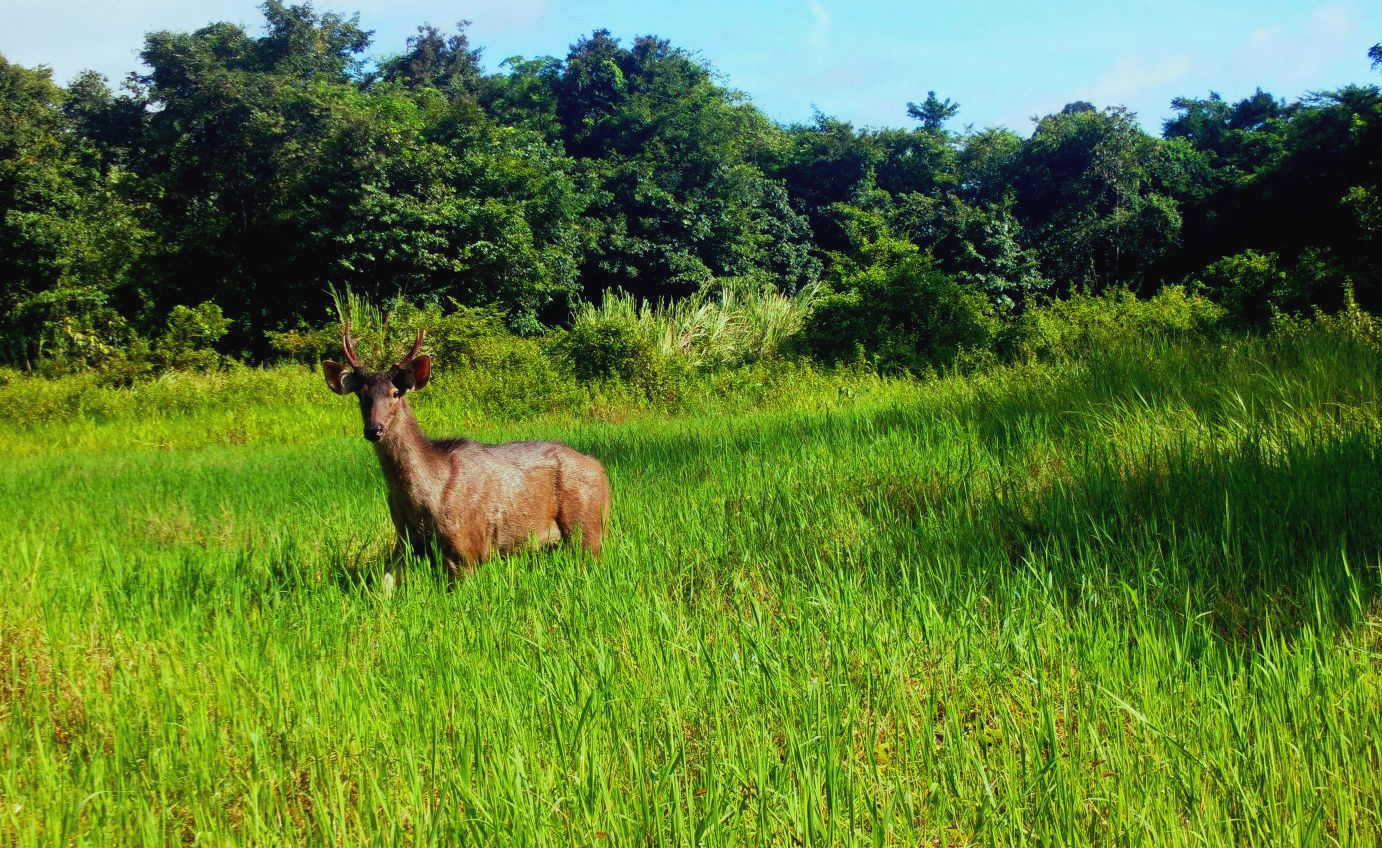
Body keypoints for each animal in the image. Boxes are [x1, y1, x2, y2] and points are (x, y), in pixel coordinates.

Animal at [323, 321, 610, 582]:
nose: (374, 429)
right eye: (361, 395)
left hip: (586, 525)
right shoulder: (405, 543)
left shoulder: (466, 548)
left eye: (395, 393)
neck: (424, 495)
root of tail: (600, 469)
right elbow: (384, 586)